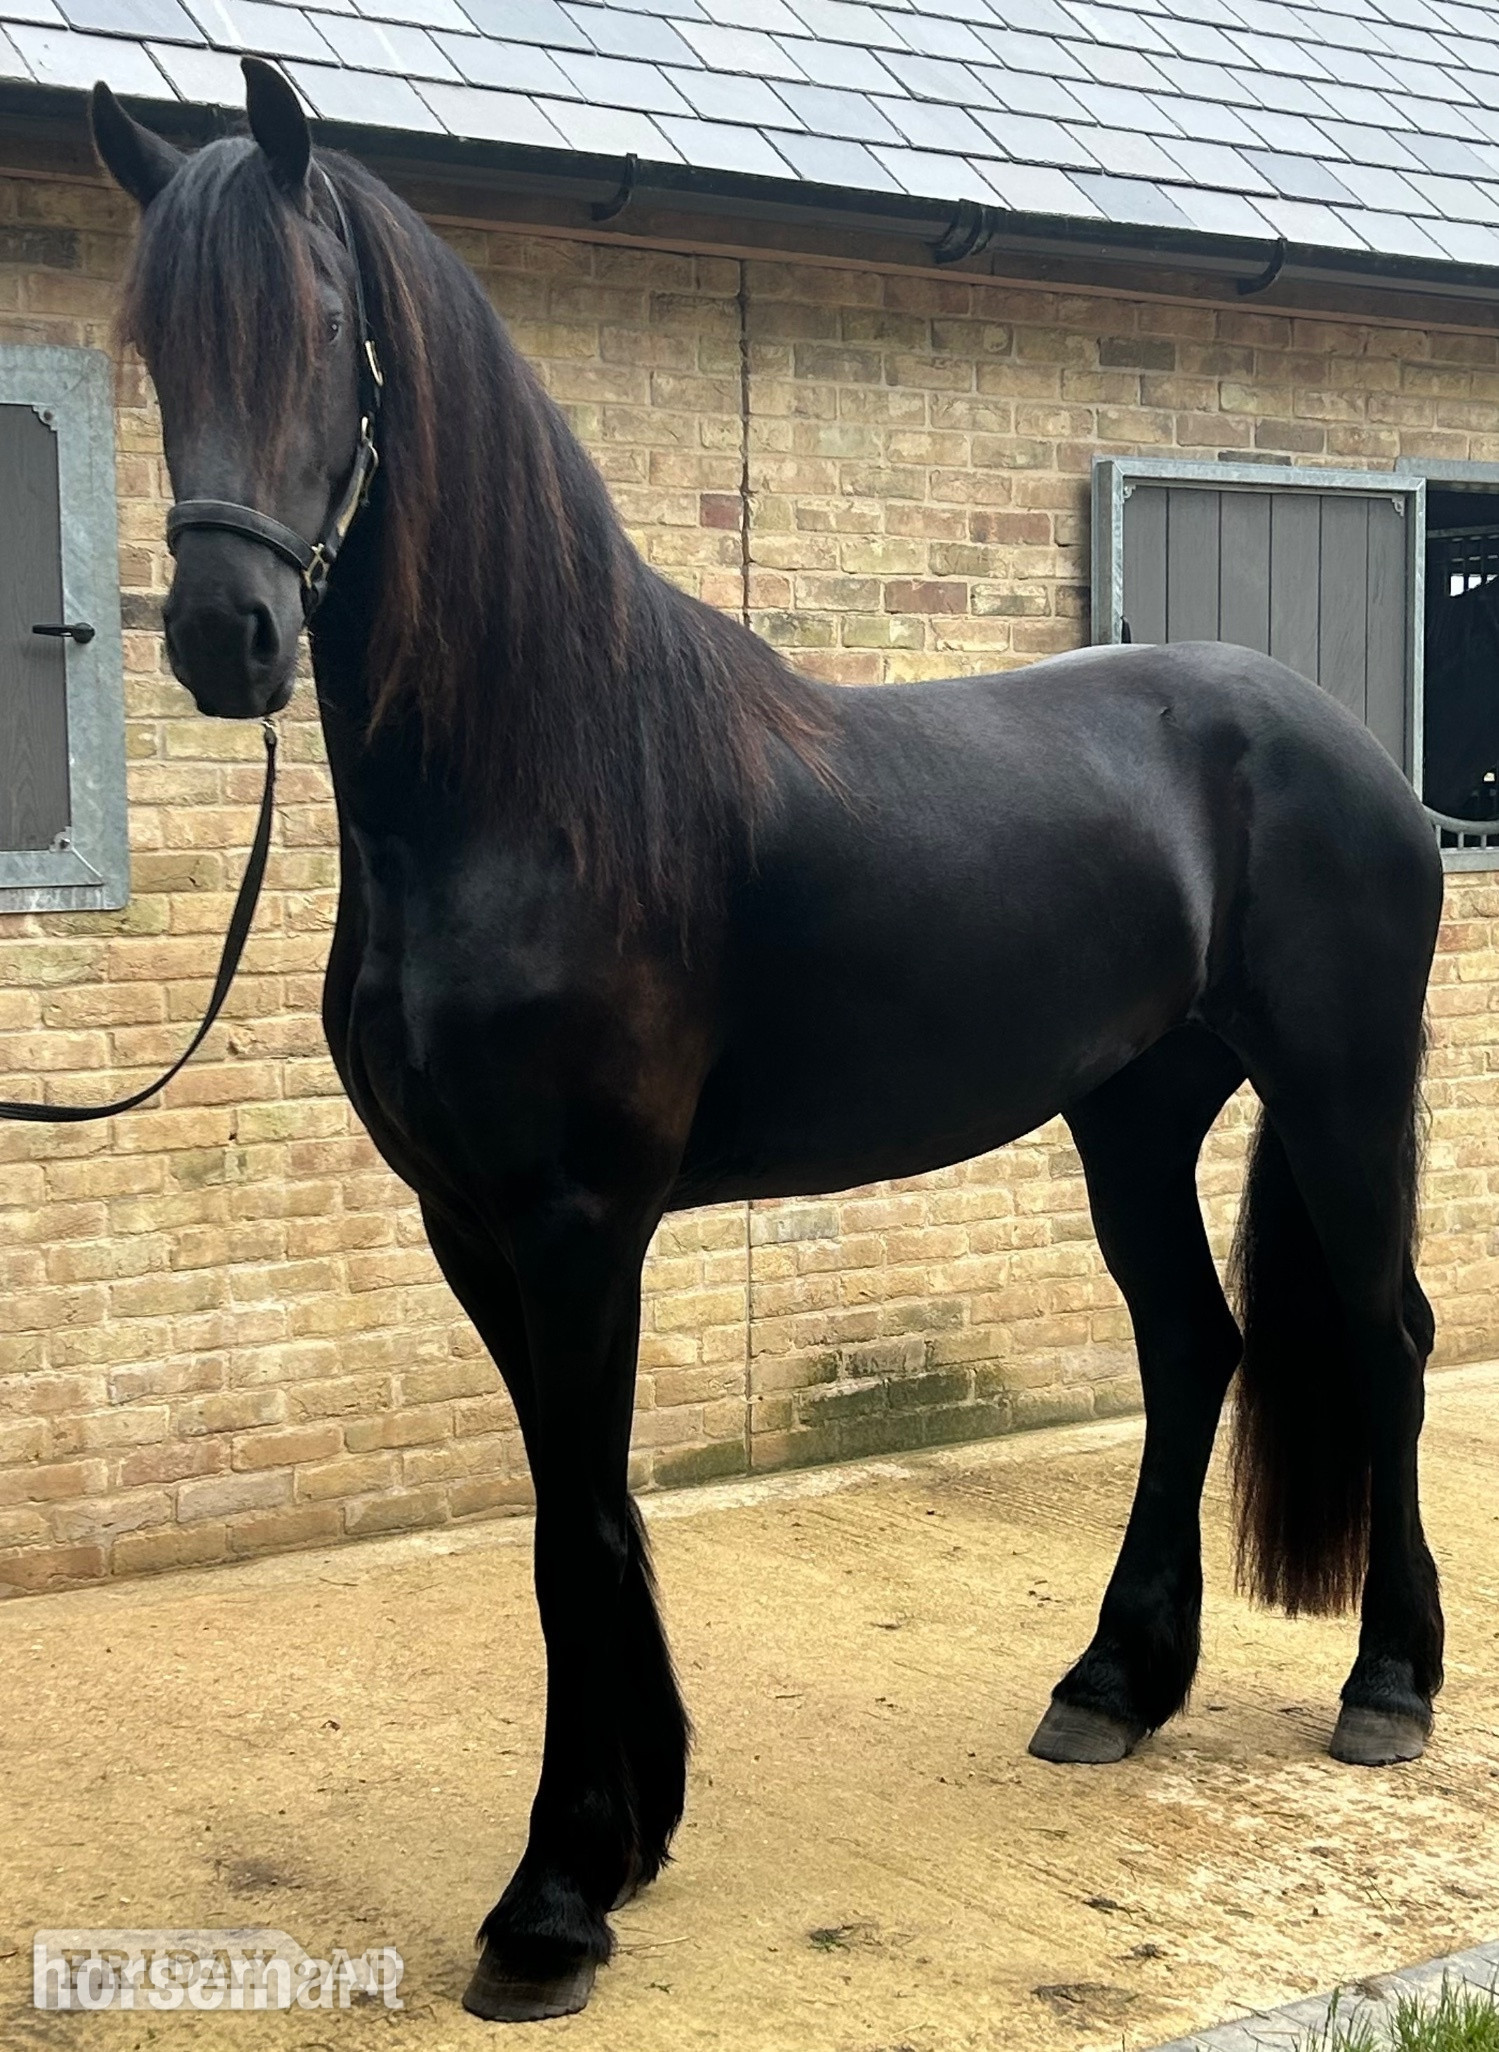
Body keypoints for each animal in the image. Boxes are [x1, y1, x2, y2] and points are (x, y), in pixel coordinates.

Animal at [90, 62, 1446, 2024]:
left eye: (323, 328)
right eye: (157, 345)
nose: (225, 634)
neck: (540, 785)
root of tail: (1339, 740)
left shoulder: (579, 1224)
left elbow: (574, 1523)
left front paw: (552, 1899)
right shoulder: (468, 1225)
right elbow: (575, 1504)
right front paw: (635, 1824)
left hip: (1336, 1087)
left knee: (1383, 1336)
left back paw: (1385, 1686)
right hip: (1129, 1113)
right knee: (1189, 1344)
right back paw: (1109, 1686)